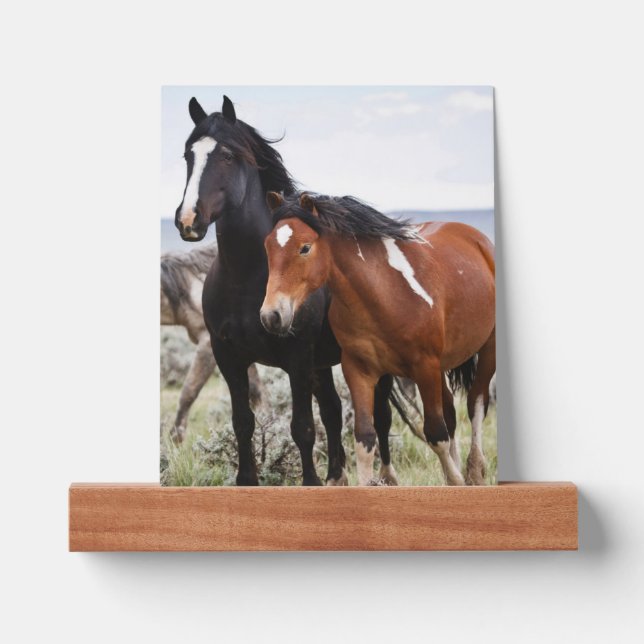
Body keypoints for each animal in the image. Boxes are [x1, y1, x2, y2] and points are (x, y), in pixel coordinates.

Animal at [174, 96, 410, 486]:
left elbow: (302, 428)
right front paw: (247, 480)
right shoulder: (229, 357)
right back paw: (336, 477)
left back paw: (385, 478)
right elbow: (243, 422)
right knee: (333, 410)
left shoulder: (297, 358)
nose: (188, 220)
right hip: (324, 364)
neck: (247, 279)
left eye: (227, 155)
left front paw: (310, 483)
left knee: (378, 416)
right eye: (187, 156)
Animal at [261, 192, 496, 486]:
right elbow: (365, 438)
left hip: (487, 349)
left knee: (476, 403)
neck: (385, 294)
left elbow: (435, 433)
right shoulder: (358, 370)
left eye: (304, 248)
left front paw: (457, 482)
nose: (271, 316)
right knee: (451, 411)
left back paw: (475, 470)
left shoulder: (425, 367)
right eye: (267, 246)